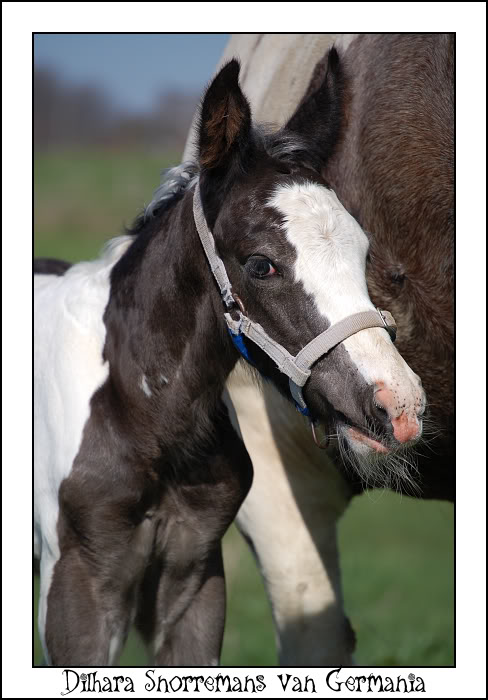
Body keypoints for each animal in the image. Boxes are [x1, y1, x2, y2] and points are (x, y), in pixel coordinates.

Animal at [33, 52, 424, 664]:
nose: (398, 406)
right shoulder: (78, 590)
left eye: (363, 253)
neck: (142, 416)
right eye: (261, 264)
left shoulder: (193, 578)